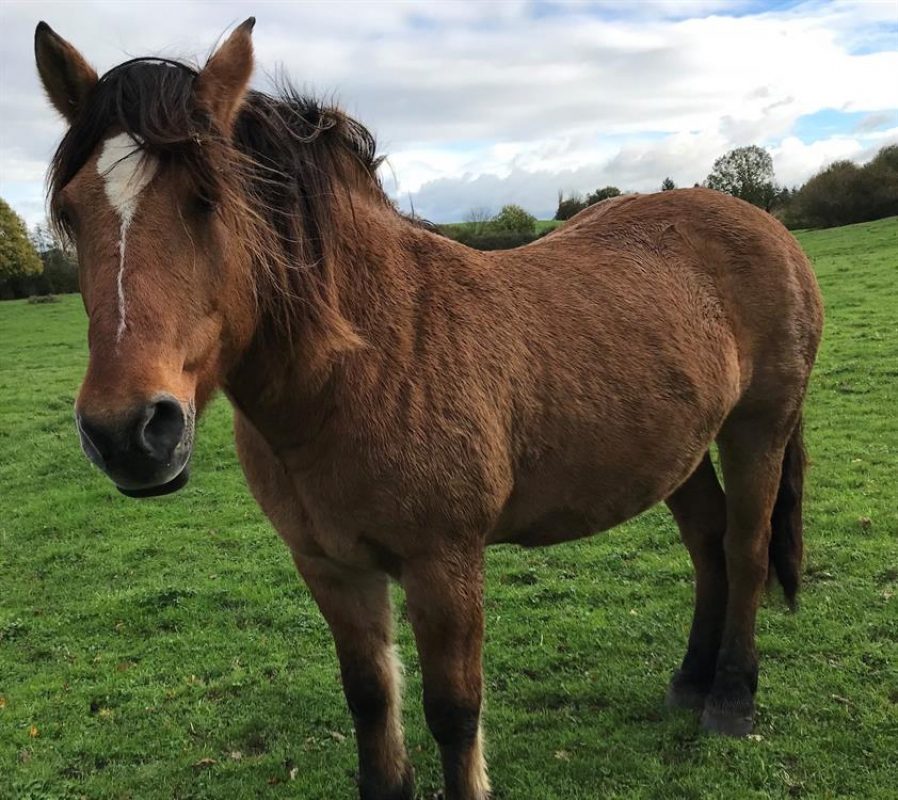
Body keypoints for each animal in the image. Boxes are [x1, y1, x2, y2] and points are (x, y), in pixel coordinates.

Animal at [36, 18, 823, 800]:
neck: (371, 361)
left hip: (757, 429)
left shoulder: (444, 565)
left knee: (745, 547)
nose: (128, 432)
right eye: (70, 212)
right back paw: (690, 683)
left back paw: (731, 697)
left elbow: (454, 712)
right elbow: (370, 699)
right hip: (679, 452)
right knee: (707, 544)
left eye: (207, 198)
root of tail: (764, 222)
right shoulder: (331, 569)